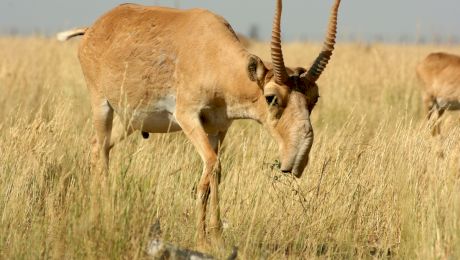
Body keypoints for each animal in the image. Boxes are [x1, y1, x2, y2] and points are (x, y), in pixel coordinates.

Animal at [58, 0, 342, 247]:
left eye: (314, 98)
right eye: (271, 97)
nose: (297, 160)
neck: (212, 56)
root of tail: (93, 29)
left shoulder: (218, 128)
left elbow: (215, 174)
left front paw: (216, 236)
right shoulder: (188, 117)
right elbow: (211, 168)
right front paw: (201, 239)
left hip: (130, 121)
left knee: (100, 146)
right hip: (101, 105)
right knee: (99, 150)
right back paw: (101, 213)